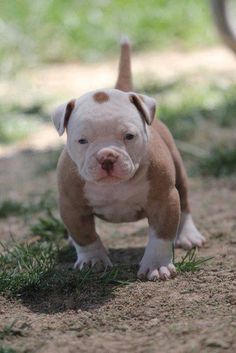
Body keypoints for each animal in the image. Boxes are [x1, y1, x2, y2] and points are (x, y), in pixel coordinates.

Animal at [51, 39, 205, 280]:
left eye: (129, 136)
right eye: (82, 140)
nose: (106, 157)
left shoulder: (163, 200)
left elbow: (160, 237)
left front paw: (156, 265)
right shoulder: (72, 204)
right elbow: (85, 235)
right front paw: (93, 260)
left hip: (179, 171)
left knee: (185, 203)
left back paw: (188, 235)